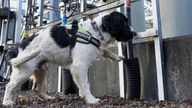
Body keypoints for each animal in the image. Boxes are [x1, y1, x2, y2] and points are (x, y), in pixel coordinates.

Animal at [2, 11, 136, 106]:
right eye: (124, 23)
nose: (134, 33)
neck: (94, 31)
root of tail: (19, 46)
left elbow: (104, 51)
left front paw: (117, 56)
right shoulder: (79, 66)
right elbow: (86, 84)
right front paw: (91, 99)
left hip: (42, 69)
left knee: (35, 89)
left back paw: (47, 98)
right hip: (24, 71)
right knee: (9, 86)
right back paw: (7, 102)